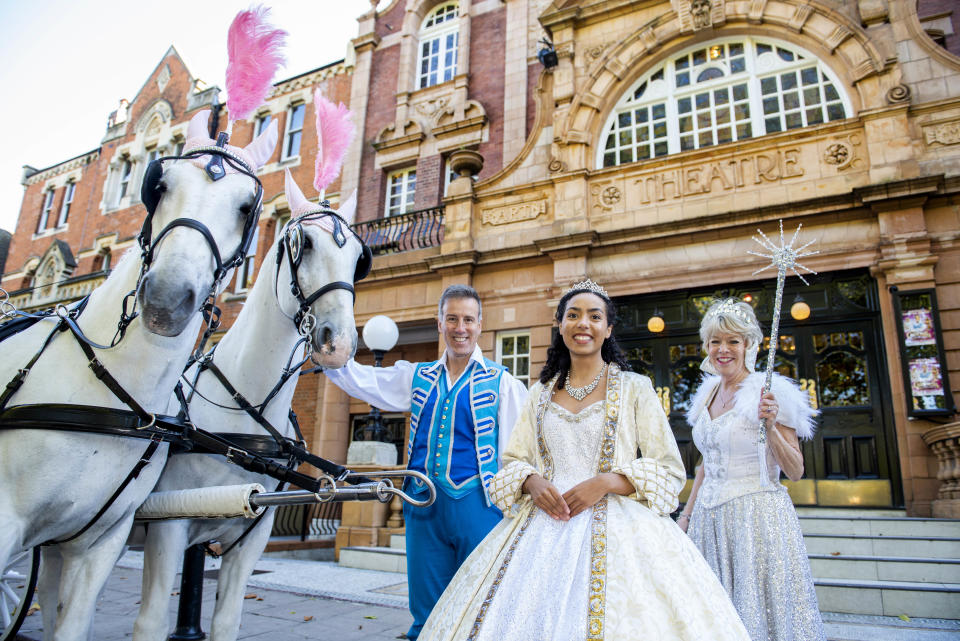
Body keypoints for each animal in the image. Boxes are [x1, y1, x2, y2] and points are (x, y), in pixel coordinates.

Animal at [131, 171, 364, 640]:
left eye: (357, 258)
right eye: (304, 244)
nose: (340, 343)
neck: (246, 413)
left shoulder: (254, 532)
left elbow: (226, 621)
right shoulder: (168, 524)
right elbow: (150, 620)